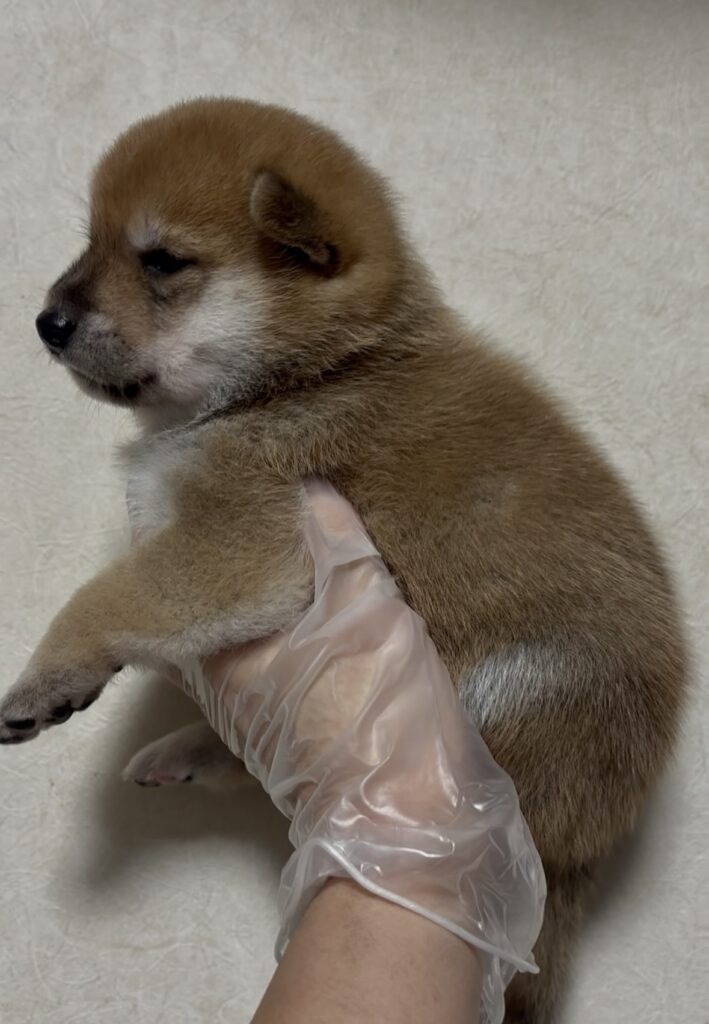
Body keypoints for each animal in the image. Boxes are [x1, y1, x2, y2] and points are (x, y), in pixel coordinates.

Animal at [1, 98, 686, 1022]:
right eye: (91, 243)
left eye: (162, 260)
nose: (47, 320)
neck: (307, 376)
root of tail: (590, 849)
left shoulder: (250, 539)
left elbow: (104, 598)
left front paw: (44, 679)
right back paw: (186, 751)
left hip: (511, 696)